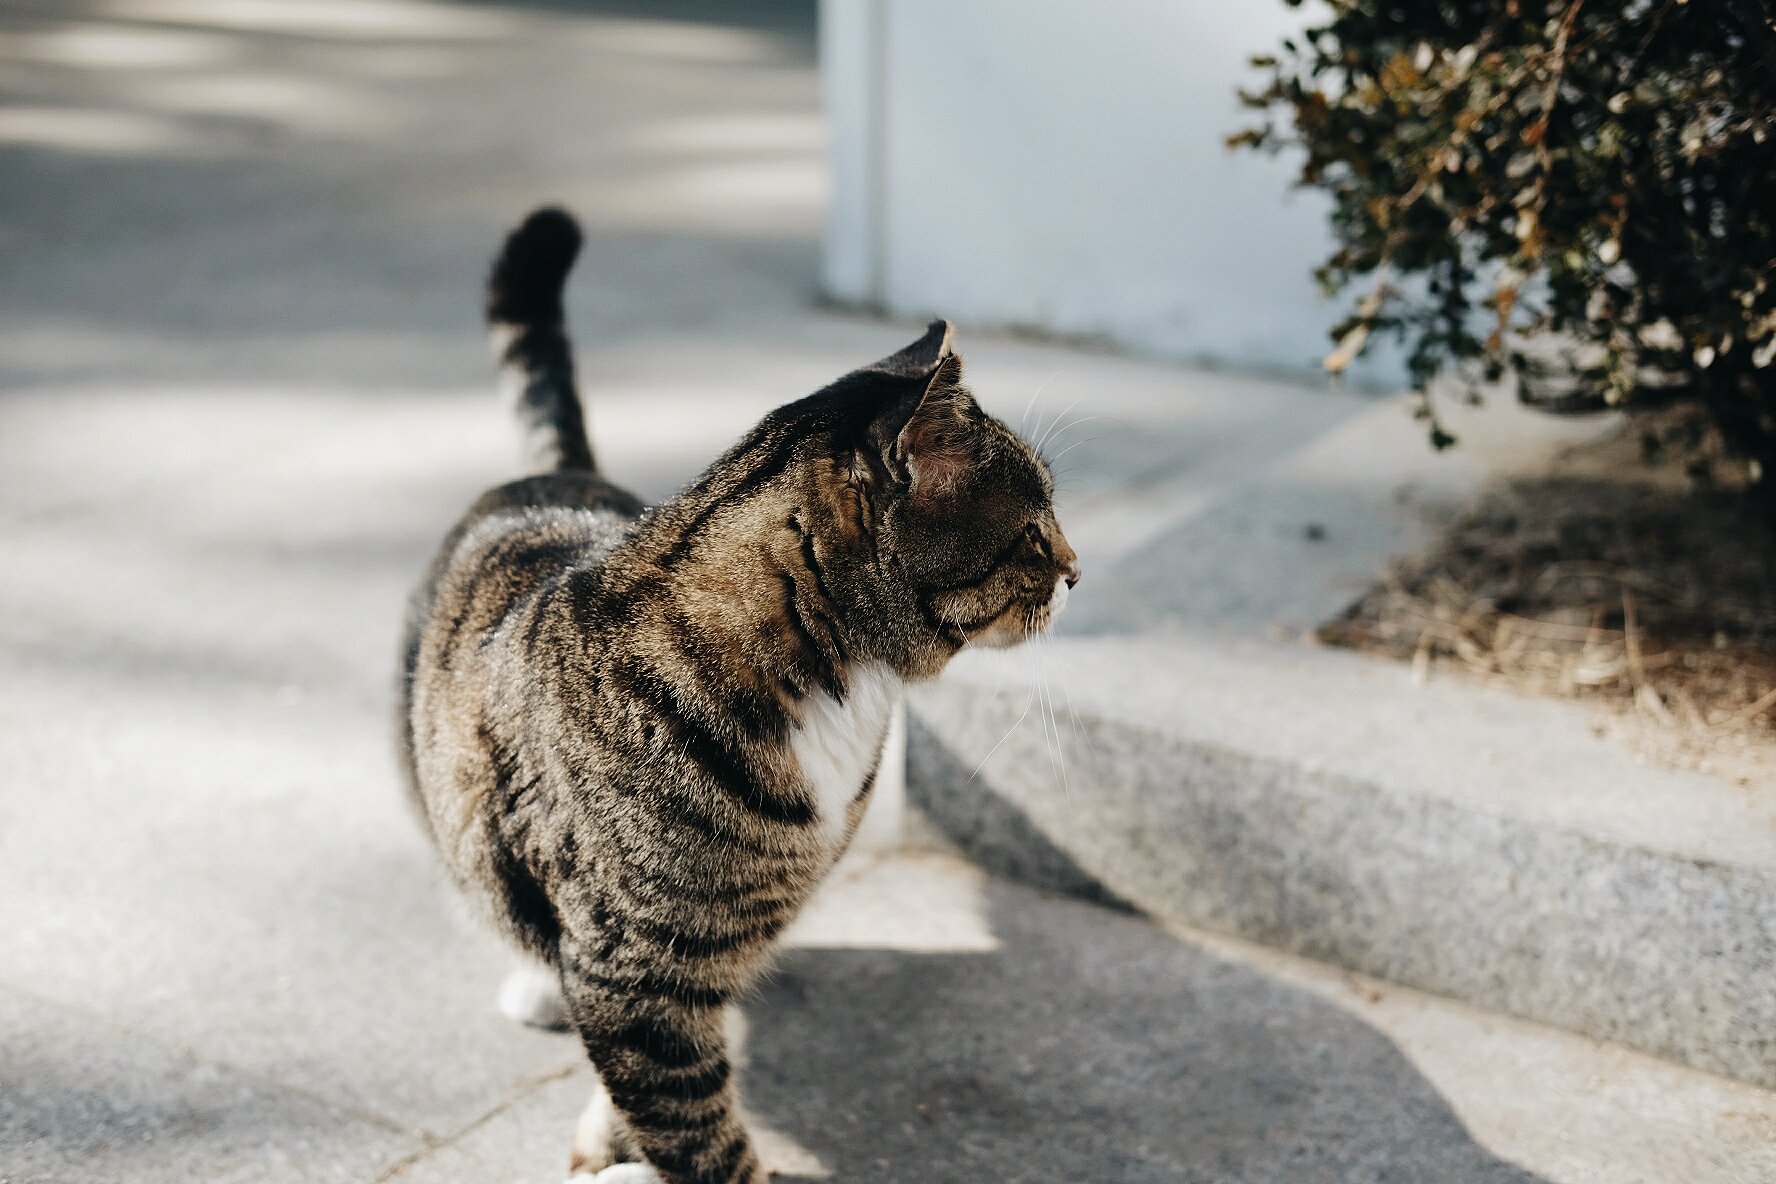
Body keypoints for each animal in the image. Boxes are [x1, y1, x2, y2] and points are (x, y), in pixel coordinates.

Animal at [396, 208, 1072, 1178]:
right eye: (1034, 532)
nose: (1078, 570)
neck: (836, 678)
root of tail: (558, 477)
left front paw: (612, 1137)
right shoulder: (633, 969)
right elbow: (699, 1130)